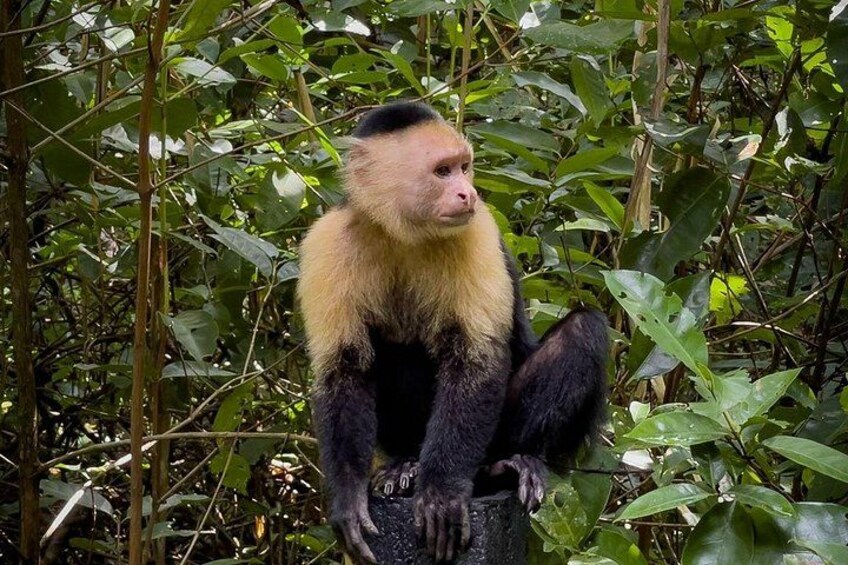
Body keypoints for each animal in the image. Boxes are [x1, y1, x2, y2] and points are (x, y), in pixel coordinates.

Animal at [297, 102, 608, 564]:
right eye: (442, 172)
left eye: (464, 168)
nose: (468, 193)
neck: (404, 232)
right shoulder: (327, 242)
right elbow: (344, 369)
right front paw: (348, 497)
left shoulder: (477, 230)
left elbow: (475, 360)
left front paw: (442, 493)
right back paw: (406, 464)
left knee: (583, 331)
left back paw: (508, 464)